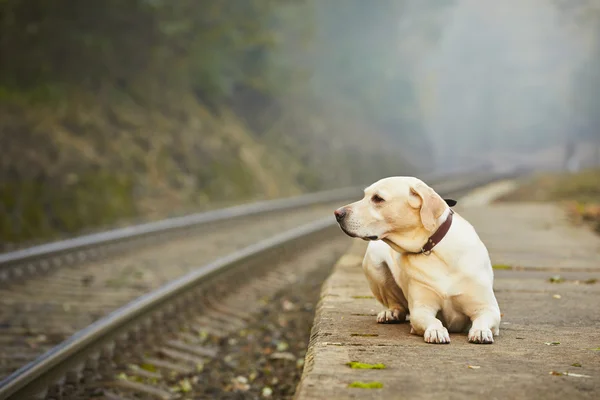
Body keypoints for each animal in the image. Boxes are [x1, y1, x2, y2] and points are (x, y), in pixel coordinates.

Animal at [336, 177, 500, 344]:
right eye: (365, 195)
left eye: (378, 198)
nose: (337, 213)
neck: (433, 249)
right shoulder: (421, 309)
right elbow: (434, 320)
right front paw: (436, 330)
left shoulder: (488, 308)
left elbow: (483, 319)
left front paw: (481, 331)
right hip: (374, 262)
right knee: (396, 303)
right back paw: (391, 313)